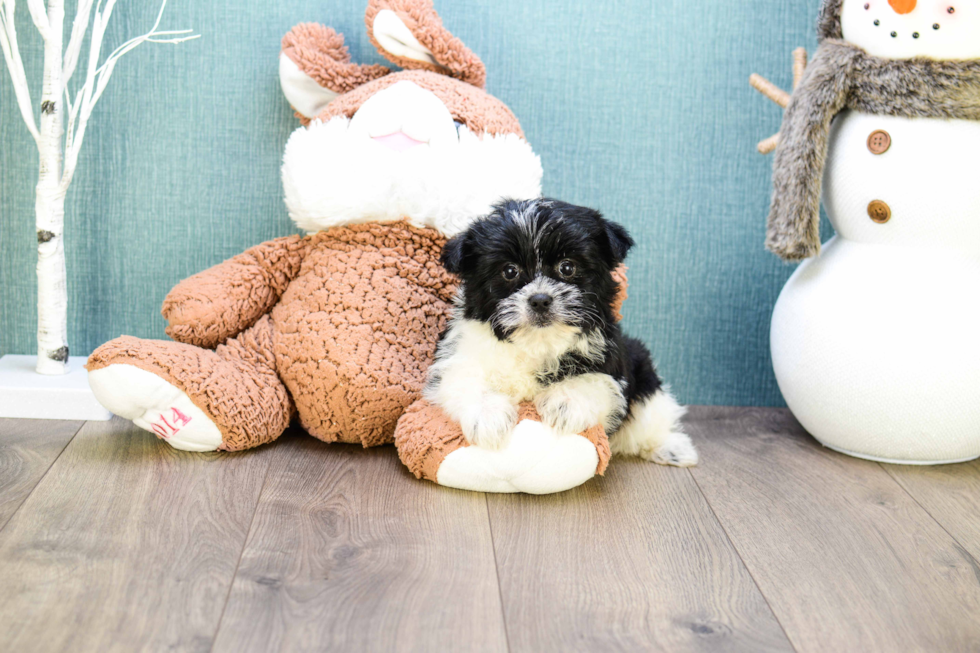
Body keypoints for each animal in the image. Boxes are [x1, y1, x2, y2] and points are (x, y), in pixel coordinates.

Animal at [426, 196, 696, 466]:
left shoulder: (609, 355)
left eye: (567, 267)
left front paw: (565, 402)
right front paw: (488, 416)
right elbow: (464, 379)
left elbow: (596, 379)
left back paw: (671, 446)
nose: (540, 300)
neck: (537, 343)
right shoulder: (460, 354)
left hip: (643, 369)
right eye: (509, 271)